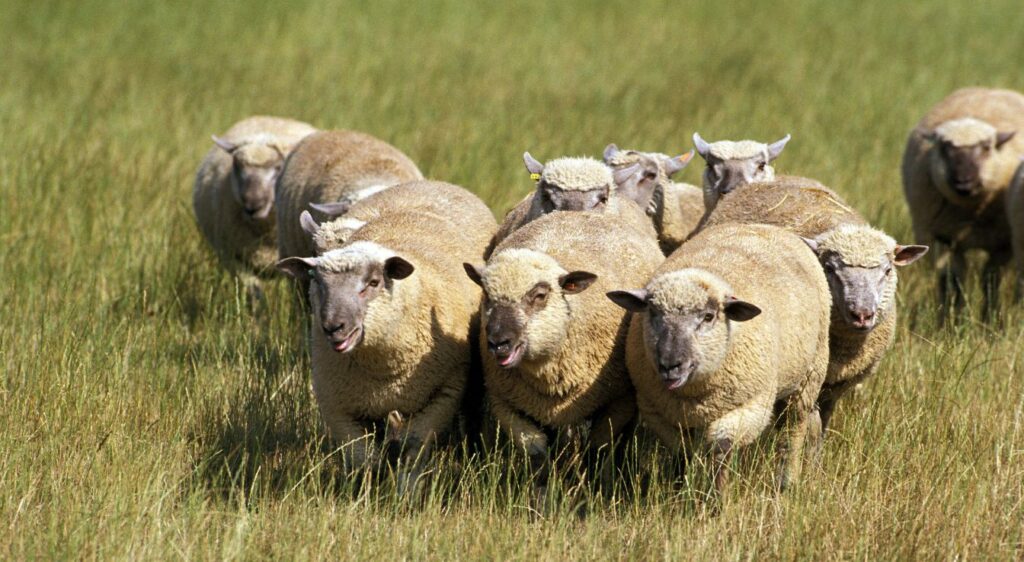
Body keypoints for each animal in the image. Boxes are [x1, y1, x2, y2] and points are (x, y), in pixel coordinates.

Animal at [277, 180, 497, 490]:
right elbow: (361, 459)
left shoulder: (441, 395)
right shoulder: (339, 406)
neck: (382, 370)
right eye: (315, 280)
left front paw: (407, 492)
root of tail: (431, 183)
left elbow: (412, 450)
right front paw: (362, 492)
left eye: (373, 282)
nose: (333, 327)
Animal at [463, 210, 663, 493]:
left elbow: (598, 449)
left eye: (540, 295)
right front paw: (542, 493)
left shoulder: (619, 398)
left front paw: (594, 490)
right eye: (487, 296)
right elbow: (536, 454)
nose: (498, 342)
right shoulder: (507, 401)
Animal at [606, 223, 831, 499]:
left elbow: (721, 451)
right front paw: (680, 492)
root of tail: (759, 225)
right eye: (654, 314)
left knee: (793, 430)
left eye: (708, 316)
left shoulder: (747, 408)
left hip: (809, 375)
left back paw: (785, 482)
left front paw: (717, 500)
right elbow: (682, 454)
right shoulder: (661, 412)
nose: (670, 365)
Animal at [901, 87, 1024, 318]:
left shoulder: (1003, 244)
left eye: (986, 147)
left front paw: (990, 318)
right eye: (944, 147)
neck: (970, 210)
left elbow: (990, 281)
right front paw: (950, 320)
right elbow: (952, 282)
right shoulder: (941, 238)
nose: (963, 181)